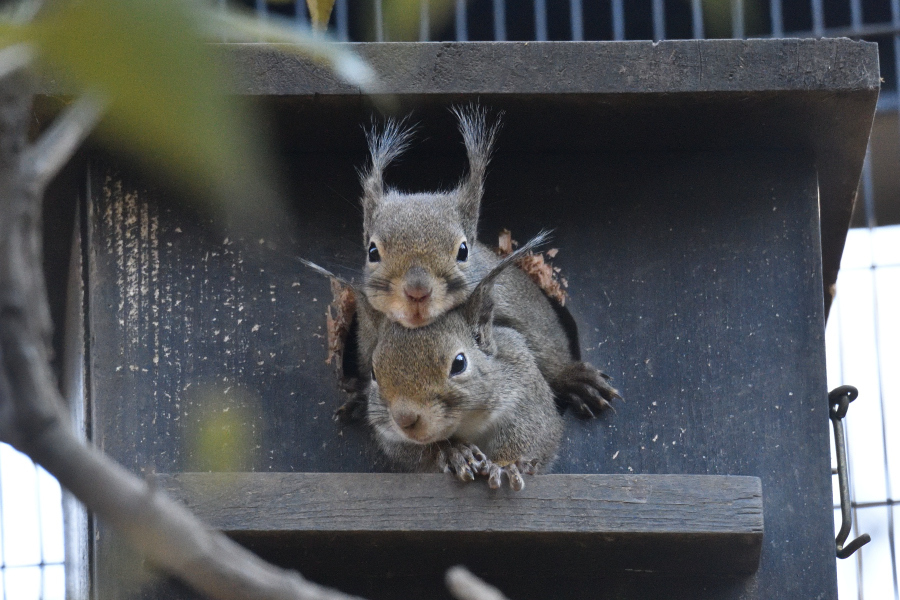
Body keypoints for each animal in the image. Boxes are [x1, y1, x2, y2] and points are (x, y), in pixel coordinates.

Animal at [338, 104, 620, 422]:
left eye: (463, 250)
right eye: (372, 251)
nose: (417, 291)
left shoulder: (518, 308)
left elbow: (545, 345)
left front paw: (572, 379)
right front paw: (358, 399)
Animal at [358, 232, 564, 490]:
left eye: (459, 364)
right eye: (374, 373)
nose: (404, 419)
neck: (467, 422)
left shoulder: (523, 380)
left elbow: (535, 431)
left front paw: (507, 465)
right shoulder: (390, 435)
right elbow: (413, 452)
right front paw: (453, 452)